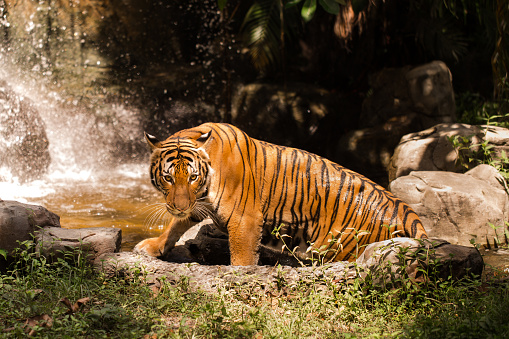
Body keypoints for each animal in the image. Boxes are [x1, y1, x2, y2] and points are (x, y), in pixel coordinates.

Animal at [133, 122, 426, 266]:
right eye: (169, 178)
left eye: (193, 177)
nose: (180, 205)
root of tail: (409, 214)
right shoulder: (195, 203)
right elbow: (176, 225)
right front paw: (154, 246)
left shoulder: (245, 220)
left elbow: (242, 259)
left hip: (341, 248)